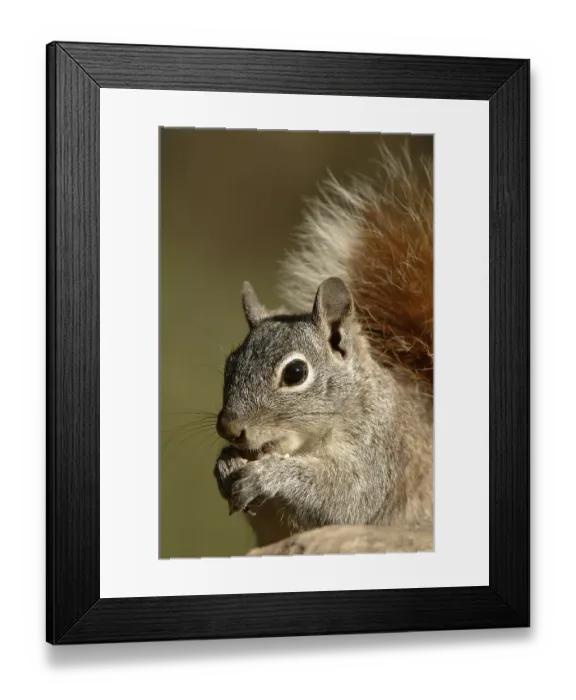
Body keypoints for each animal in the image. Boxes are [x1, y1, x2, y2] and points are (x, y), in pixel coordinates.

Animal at [213, 142, 434, 553]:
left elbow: (343, 498)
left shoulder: (378, 453)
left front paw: (269, 474)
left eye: (296, 373)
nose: (230, 429)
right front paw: (224, 463)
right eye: (230, 364)